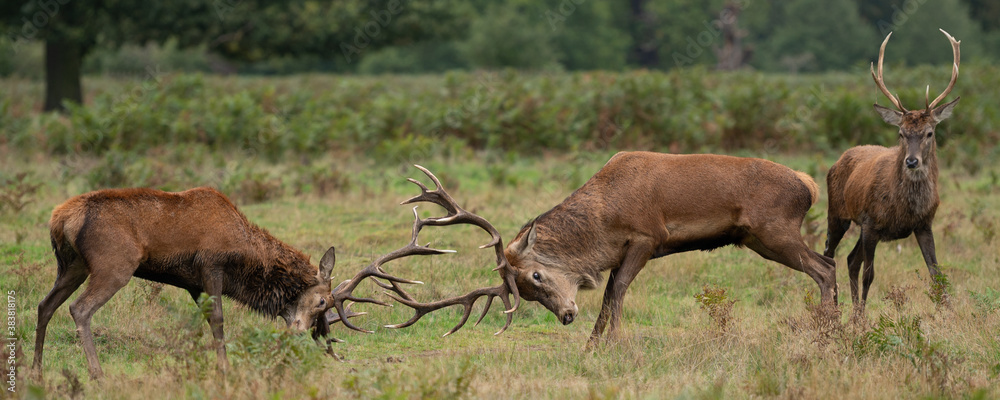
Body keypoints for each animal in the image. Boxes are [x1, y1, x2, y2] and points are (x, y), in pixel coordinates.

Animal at [33, 186, 416, 379]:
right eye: (323, 302)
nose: (300, 333)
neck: (245, 258)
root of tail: (61, 218)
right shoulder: (211, 266)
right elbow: (218, 319)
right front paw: (225, 368)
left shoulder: (192, 283)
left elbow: (205, 321)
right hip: (114, 264)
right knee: (79, 309)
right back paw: (97, 374)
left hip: (71, 265)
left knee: (44, 305)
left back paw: (36, 370)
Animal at [824, 29, 960, 315]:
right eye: (901, 133)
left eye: (929, 133)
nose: (911, 161)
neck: (905, 207)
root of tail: (839, 159)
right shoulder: (871, 222)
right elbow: (870, 274)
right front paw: (863, 319)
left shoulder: (924, 224)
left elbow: (936, 273)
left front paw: (949, 313)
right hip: (837, 212)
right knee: (829, 256)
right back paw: (833, 309)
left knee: (850, 260)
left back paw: (850, 310)